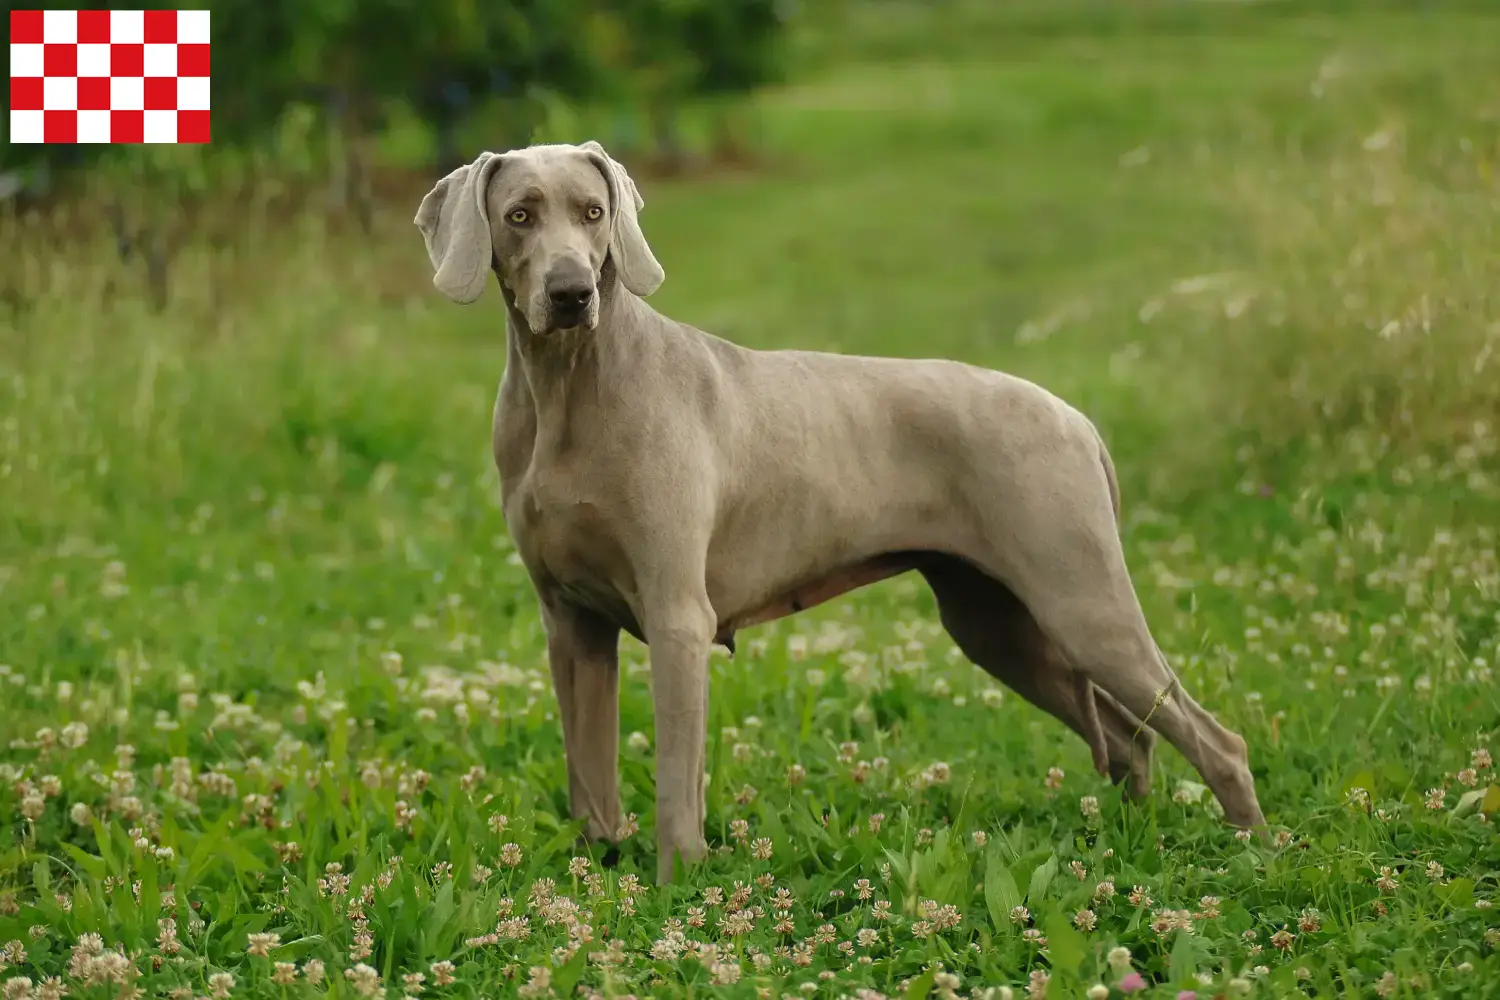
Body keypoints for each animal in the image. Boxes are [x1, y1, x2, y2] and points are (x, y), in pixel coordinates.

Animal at [417, 138, 1272, 881]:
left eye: (594, 213)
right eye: (519, 215)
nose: (571, 294)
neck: (569, 387)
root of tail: (1076, 419)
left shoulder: (676, 616)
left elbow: (674, 783)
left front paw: (676, 892)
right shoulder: (572, 625)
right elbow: (589, 776)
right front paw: (601, 881)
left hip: (1078, 598)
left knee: (1213, 738)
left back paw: (1251, 853)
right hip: (996, 623)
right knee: (1130, 740)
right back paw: (1127, 841)